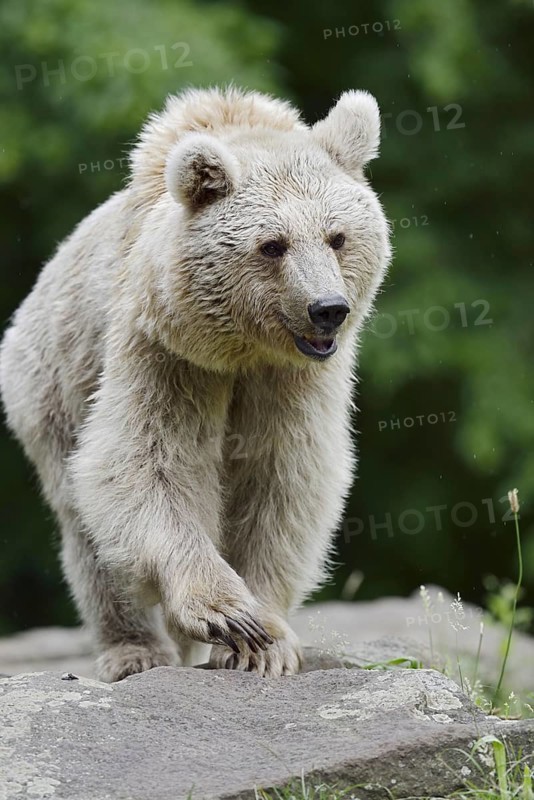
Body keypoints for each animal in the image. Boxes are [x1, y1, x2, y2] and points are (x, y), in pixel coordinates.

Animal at [0, 86, 391, 680]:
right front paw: (228, 615)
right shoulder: (164, 351)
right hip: (52, 387)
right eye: (272, 244)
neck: (241, 349)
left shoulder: (293, 380)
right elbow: (147, 460)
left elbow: (282, 476)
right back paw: (137, 650)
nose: (328, 310)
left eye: (337, 237)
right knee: (89, 531)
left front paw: (265, 643)